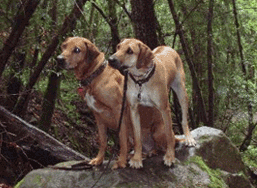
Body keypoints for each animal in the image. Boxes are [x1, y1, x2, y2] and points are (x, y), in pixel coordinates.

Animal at [55, 36, 178, 169]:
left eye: (77, 50)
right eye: (64, 46)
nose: (59, 59)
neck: (95, 76)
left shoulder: (119, 112)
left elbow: (122, 140)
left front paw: (120, 162)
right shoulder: (98, 117)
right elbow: (103, 141)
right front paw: (99, 159)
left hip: (158, 132)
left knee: (165, 146)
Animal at [107, 38, 194, 169]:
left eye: (130, 51)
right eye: (118, 47)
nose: (110, 59)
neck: (141, 80)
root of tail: (167, 47)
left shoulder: (164, 109)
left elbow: (169, 135)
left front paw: (170, 156)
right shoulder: (133, 109)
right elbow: (138, 139)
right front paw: (137, 158)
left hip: (181, 92)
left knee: (181, 123)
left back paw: (187, 138)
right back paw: (143, 153)